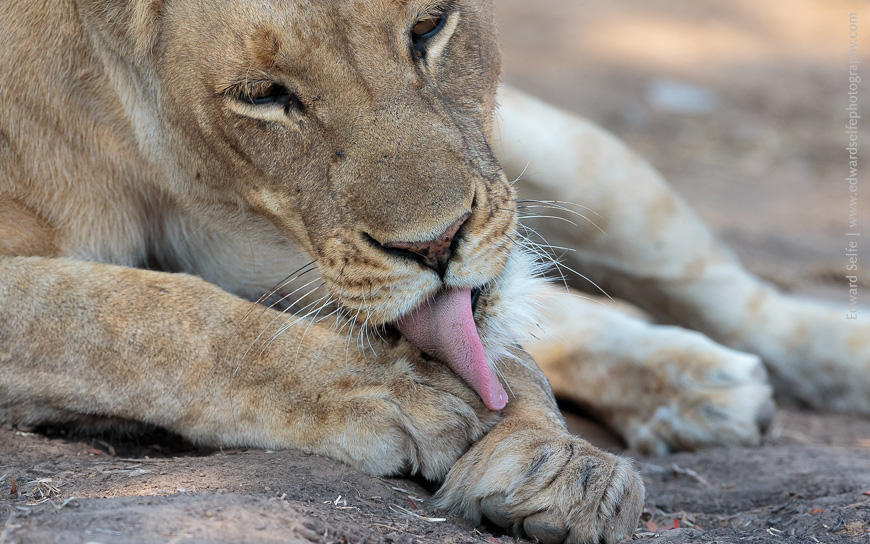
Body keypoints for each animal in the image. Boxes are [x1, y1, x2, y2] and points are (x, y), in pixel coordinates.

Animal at [1, 1, 868, 543]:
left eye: (430, 25)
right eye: (264, 95)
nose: (437, 242)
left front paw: (547, 458)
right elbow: (136, 315)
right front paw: (398, 392)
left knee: (707, 286)